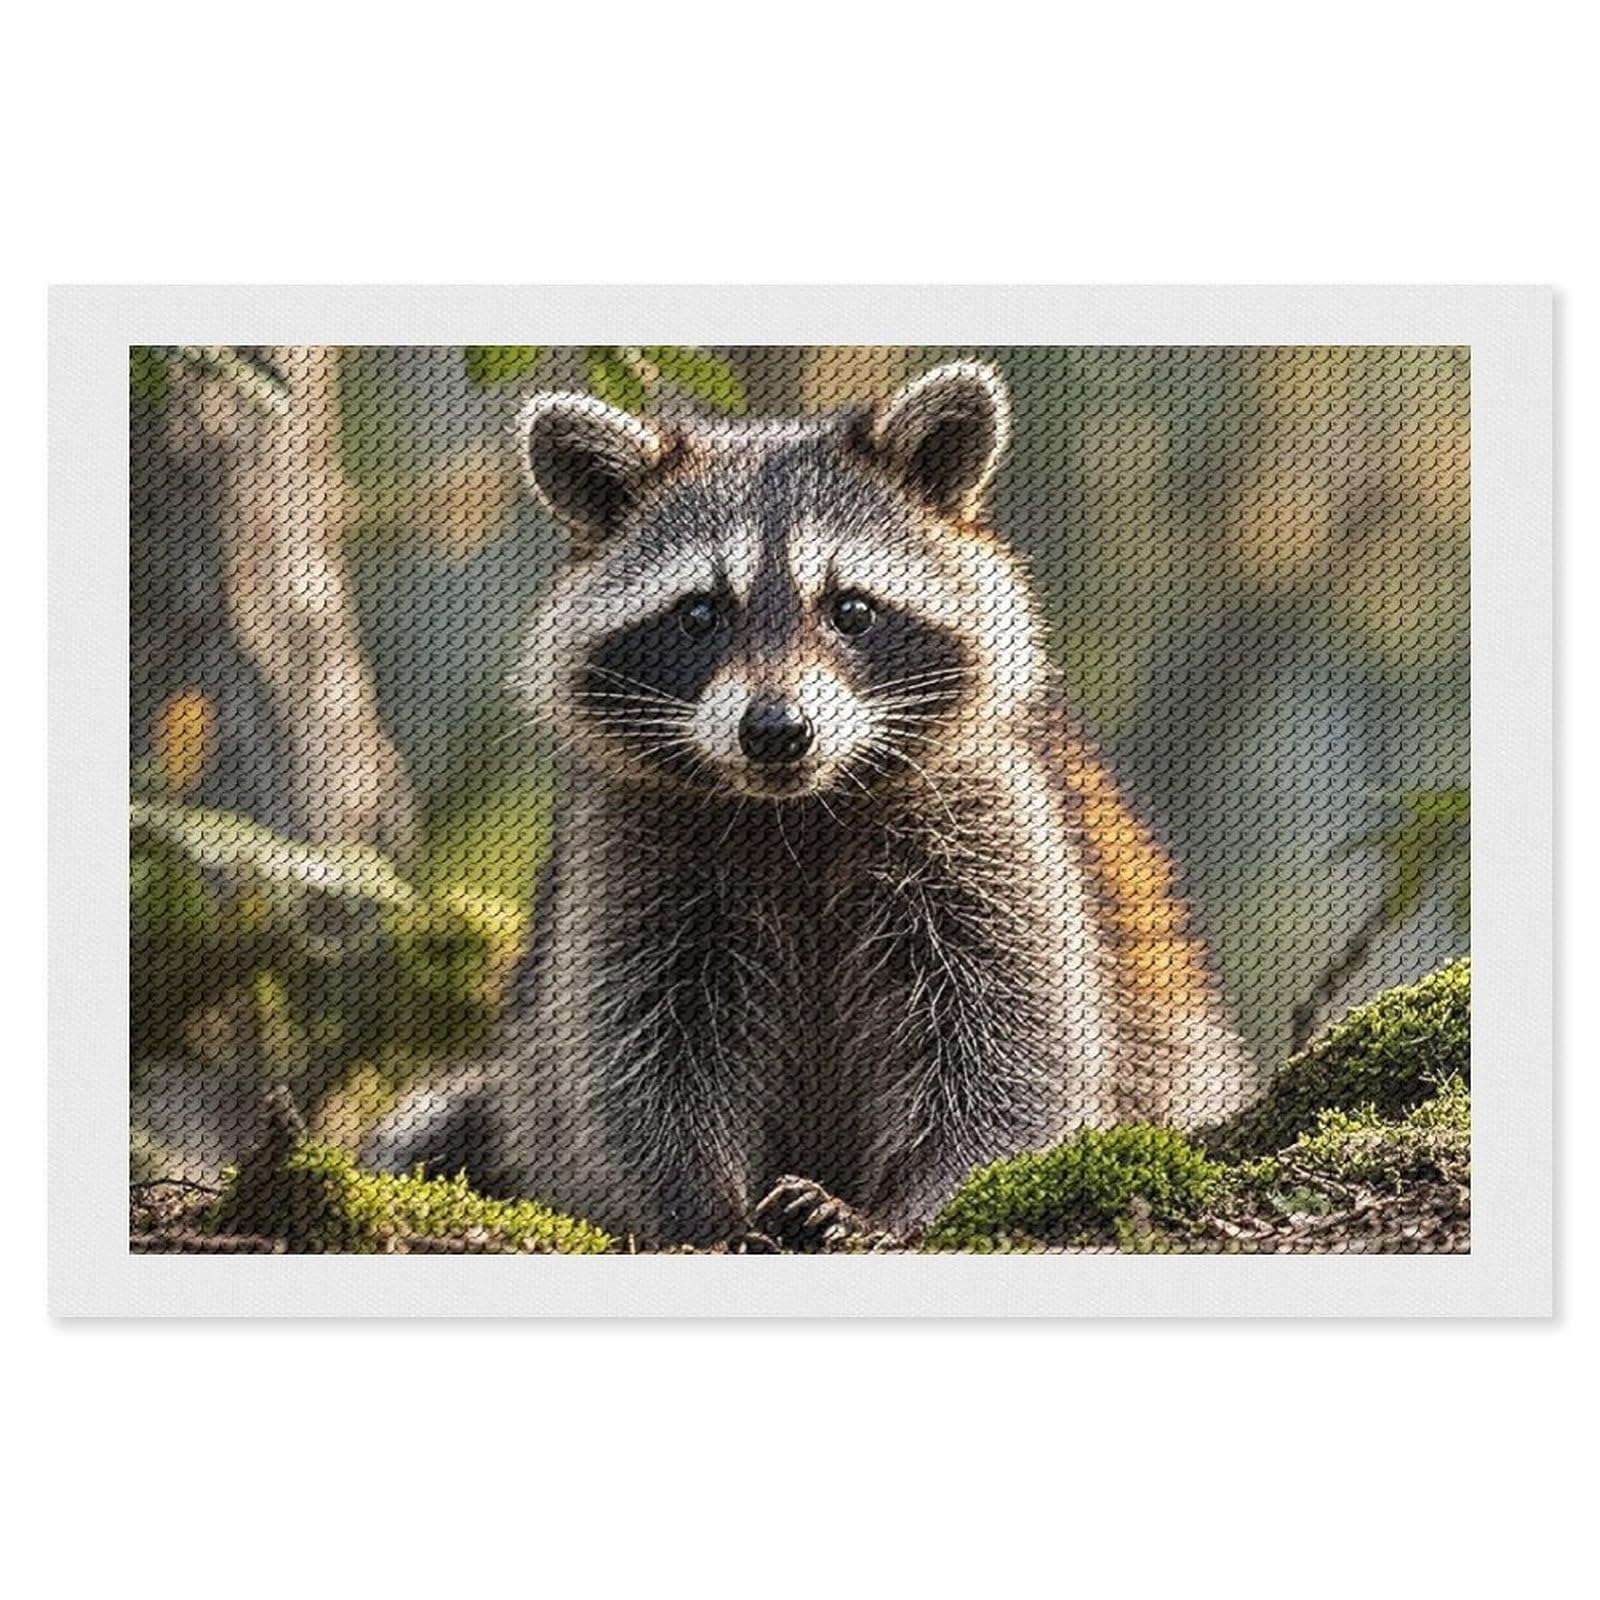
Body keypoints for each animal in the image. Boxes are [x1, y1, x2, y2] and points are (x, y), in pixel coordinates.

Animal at [369, 362, 1251, 1246]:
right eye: (699, 613)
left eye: (851, 609)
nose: (776, 730)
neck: (798, 811)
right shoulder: (630, 854)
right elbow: (635, 1066)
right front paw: (703, 1211)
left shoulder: (995, 823)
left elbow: (1013, 1052)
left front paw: (907, 1204)